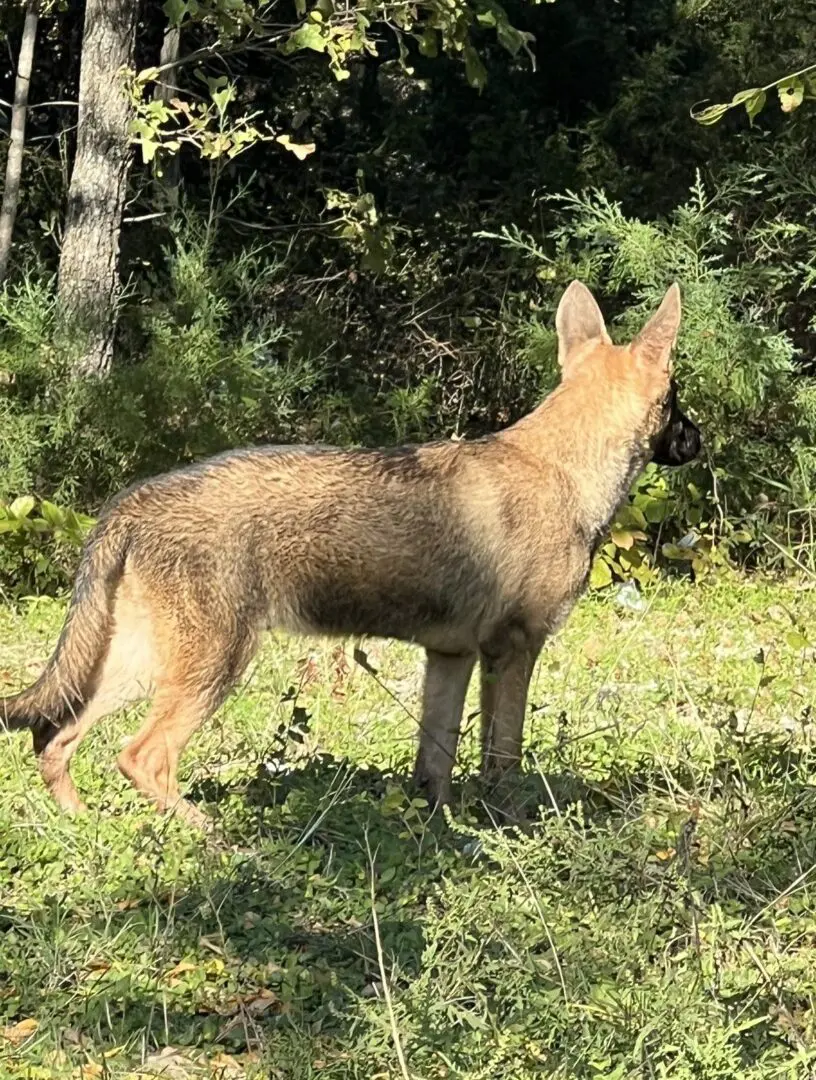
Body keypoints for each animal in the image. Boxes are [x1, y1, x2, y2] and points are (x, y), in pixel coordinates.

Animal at [1, 282, 699, 820]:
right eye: (678, 400)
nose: (700, 441)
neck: (565, 471)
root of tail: (131, 502)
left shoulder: (451, 658)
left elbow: (435, 765)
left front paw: (440, 828)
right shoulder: (513, 650)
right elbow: (502, 759)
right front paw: (510, 825)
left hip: (140, 666)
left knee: (54, 740)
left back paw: (85, 824)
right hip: (211, 668)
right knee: (140, 757)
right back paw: (212, 836)